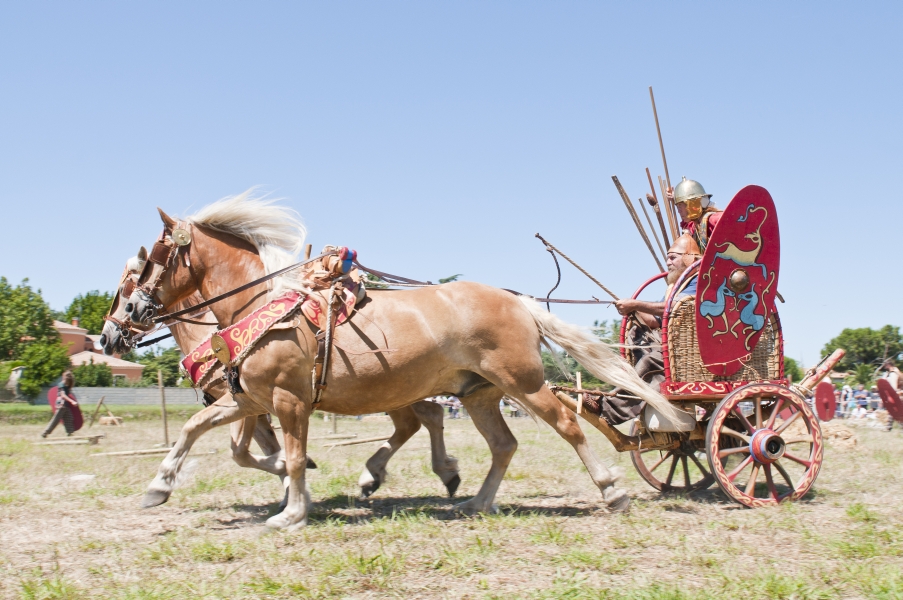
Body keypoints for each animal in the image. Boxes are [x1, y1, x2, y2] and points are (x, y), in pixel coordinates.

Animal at [102, 193, 680, 528]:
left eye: (142, 265)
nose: (112, 332)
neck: (261, 306)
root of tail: (518, 301)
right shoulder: (248, 399)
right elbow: (197, 432)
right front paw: (158, 487)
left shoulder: (288, 402)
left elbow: (290, 455)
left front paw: (293, 510)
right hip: (479, 394)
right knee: (498, 443)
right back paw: (473, 501)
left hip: (523, 384)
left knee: (567, 424)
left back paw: (612, 492)